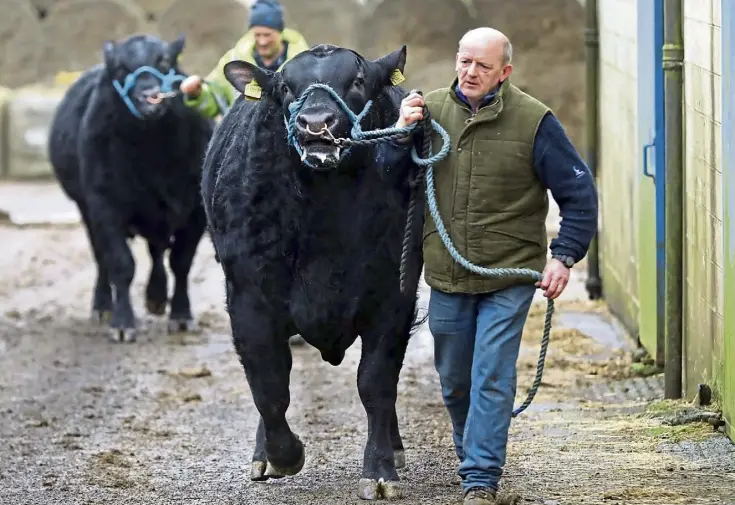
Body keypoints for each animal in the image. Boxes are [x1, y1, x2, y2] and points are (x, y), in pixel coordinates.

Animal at [201, 44, 428, 500]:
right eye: (287, 88)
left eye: (357, 81)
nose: (316, 123)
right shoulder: (249, 300)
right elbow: (269, 386)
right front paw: (283, 455)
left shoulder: (393, 298)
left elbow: (376, 383)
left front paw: (380, 470)